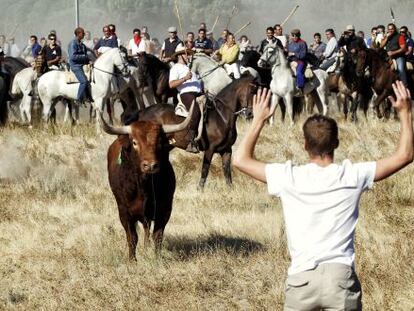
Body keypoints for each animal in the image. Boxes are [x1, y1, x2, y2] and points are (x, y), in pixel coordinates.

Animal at [102, 103, 195, 260]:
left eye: (159, 142)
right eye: (134, 142)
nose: (150, 165)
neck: (143, 186)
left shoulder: (164, 209)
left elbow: (157, 235)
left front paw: (157, 259)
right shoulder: (124, 212)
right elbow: (132, 237)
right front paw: (132, 260)